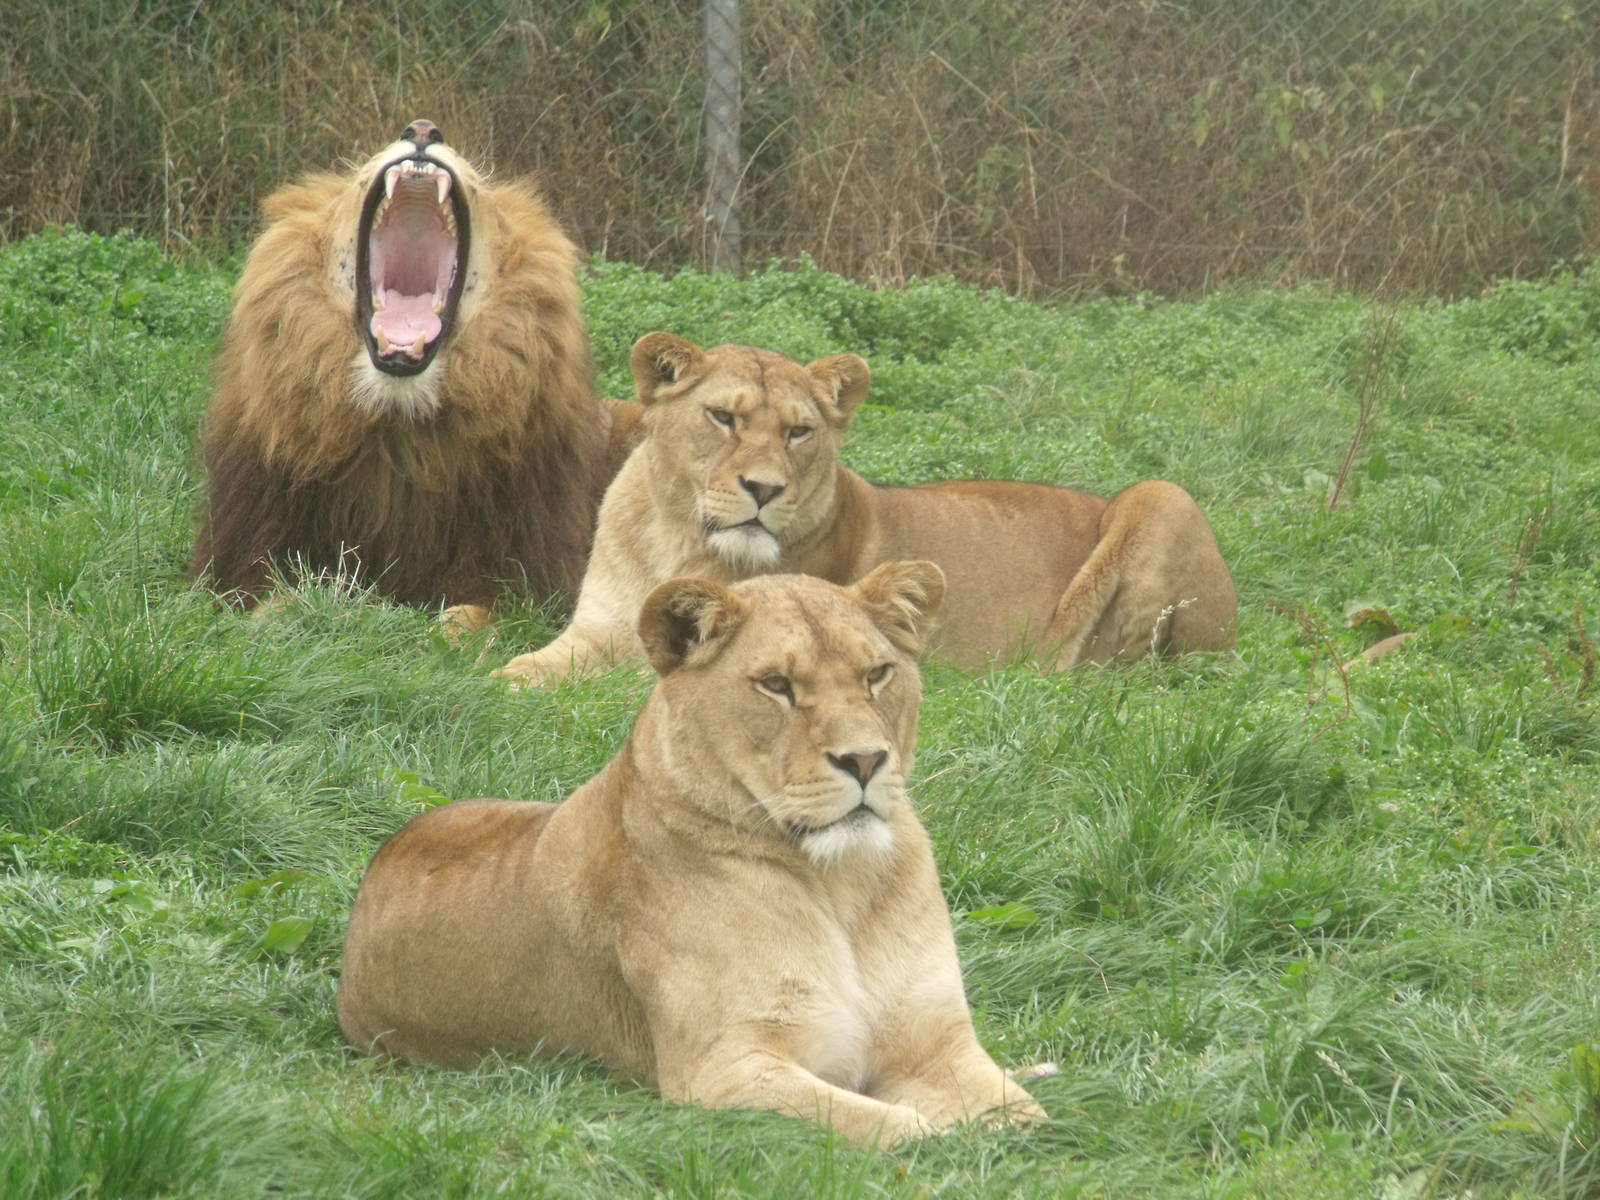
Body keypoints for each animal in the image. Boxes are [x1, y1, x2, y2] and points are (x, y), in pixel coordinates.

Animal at [190, 120, 639, 621]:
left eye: (480, 177)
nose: (423, 129)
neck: (398, 434)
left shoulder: (532, 581)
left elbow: (472, 615)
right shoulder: (251, 553)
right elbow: (273, 600)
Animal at [339, 563, 1050, 1145]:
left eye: (877, 674)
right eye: (776, 685)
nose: (866, 761)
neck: (840, 881)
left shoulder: (936, 1047)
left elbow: (1028, 1120)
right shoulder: (722, 1070)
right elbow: (901, 1130)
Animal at [492, 332, 1235, 683]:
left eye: (798, 432)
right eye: (722, 418)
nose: (765, 490)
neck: (673, 536)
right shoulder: (592, 628)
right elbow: (524, 666)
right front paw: (494, 679)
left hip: (1161, 496)